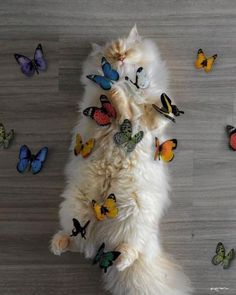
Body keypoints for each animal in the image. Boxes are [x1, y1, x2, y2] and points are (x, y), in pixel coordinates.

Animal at [50, 26, 193, 295]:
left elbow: (144, 110)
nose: (121, 58)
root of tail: (102, 233)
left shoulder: (148, 118)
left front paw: (123, 94)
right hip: (75, 211)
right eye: (110, 55)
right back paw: (58, 245)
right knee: (79, 243)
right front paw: (114, 91)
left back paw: (120, 262)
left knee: (130, 251)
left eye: (125, 51)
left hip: (134, 218)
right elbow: (120, 104)